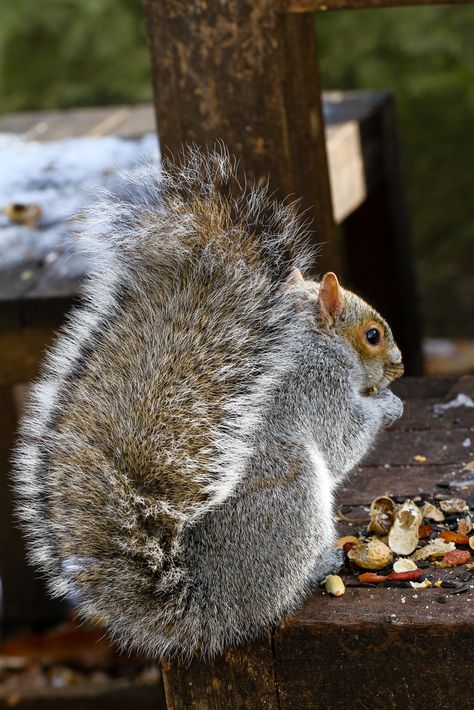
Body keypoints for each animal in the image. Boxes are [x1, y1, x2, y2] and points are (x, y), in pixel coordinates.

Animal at [12, 149, 404, 660]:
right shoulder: (316, 386)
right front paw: (389, 406)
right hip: (291, 495)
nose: (399, 365)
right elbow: (343, 439)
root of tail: (208, 607)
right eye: (372, 336)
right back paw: (322, 563)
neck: (315, 339)